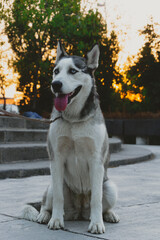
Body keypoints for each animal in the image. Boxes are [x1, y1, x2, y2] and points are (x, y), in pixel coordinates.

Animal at [22, 41, 119, 234]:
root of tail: (80, 212)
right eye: (56, 71)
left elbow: (96, 198)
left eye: (73, 71)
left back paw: (109, 214)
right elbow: (58, 198)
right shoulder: (56, 158)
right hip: (52, 185)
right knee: (46, 203)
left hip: (110, 187)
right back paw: (44, 215)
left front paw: (97, 223)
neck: (74, 119)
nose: (56, 84)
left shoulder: (96, 160)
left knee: (103, 202)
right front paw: (56, 220)